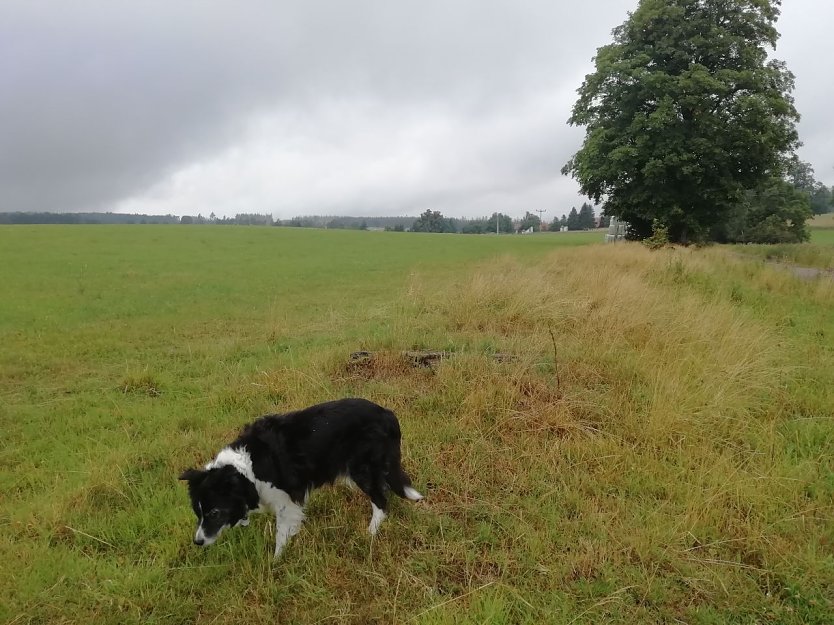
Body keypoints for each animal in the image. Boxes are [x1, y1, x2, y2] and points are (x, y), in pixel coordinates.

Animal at [176, 398, 422, 560]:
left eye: (214, 513)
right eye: (198, 513)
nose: (198, 542)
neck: (246, 470)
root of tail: (386, 413)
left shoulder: (285, 501)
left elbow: (281, 535)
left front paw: (276, 562)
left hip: (362, 469)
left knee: (381, 500)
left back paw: (371, 533)